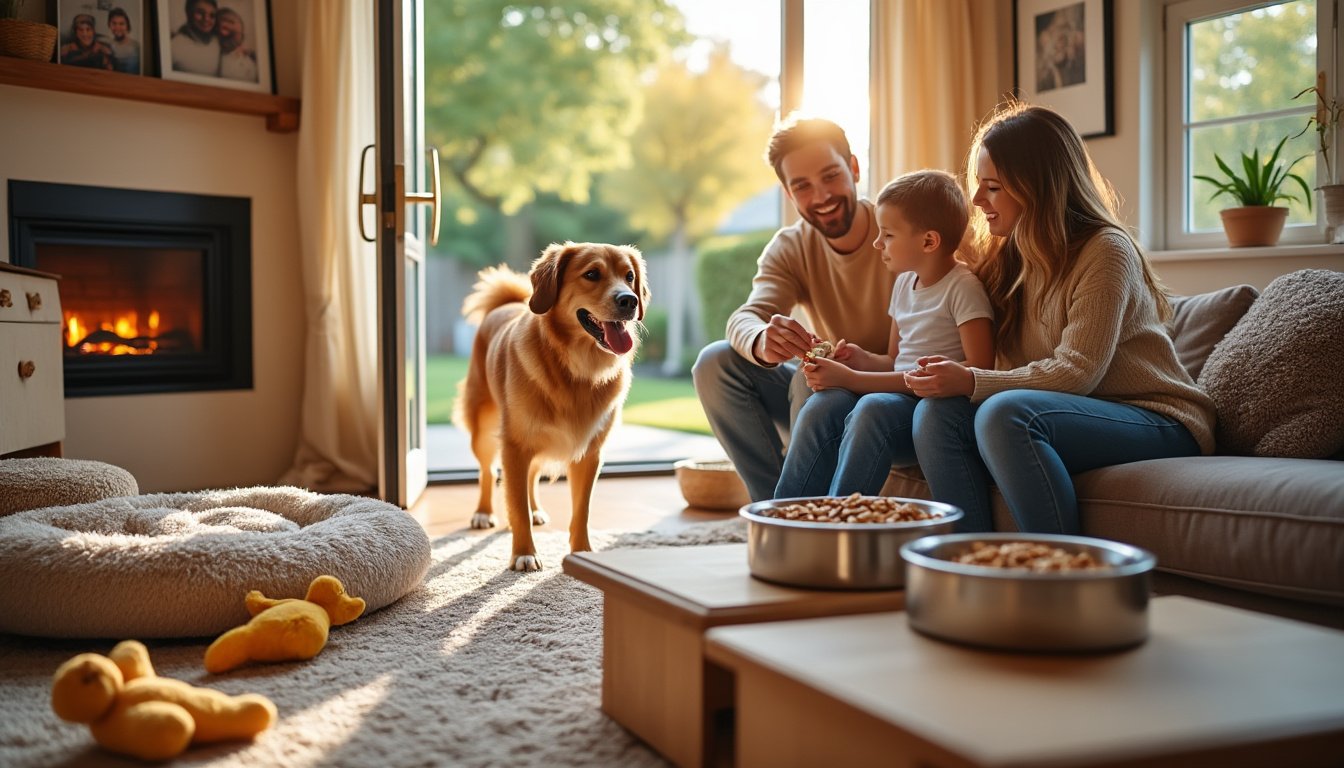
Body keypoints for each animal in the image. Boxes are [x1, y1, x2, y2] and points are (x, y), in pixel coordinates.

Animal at [454, 240, 647, 570]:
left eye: (629, 276)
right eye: (592, 274)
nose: (630, 301)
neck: (577, 368)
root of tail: (504, 305)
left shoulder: (590, 453)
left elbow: (581, 510)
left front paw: (581, 553)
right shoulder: (514, 445)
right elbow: (516, 506)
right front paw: (524, 553)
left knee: (530, 477)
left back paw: (534, 510)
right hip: (485, 430)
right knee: (487, 472)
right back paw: (483, 512)